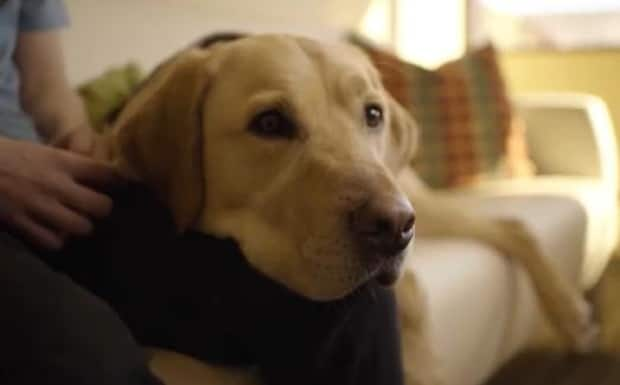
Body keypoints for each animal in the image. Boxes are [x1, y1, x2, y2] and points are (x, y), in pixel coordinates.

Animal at [101, 34, 596, 382]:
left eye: (373, 115)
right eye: (269, 123)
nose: (394, 226)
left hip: (418, 200)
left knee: (510, 225)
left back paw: (571, 314)